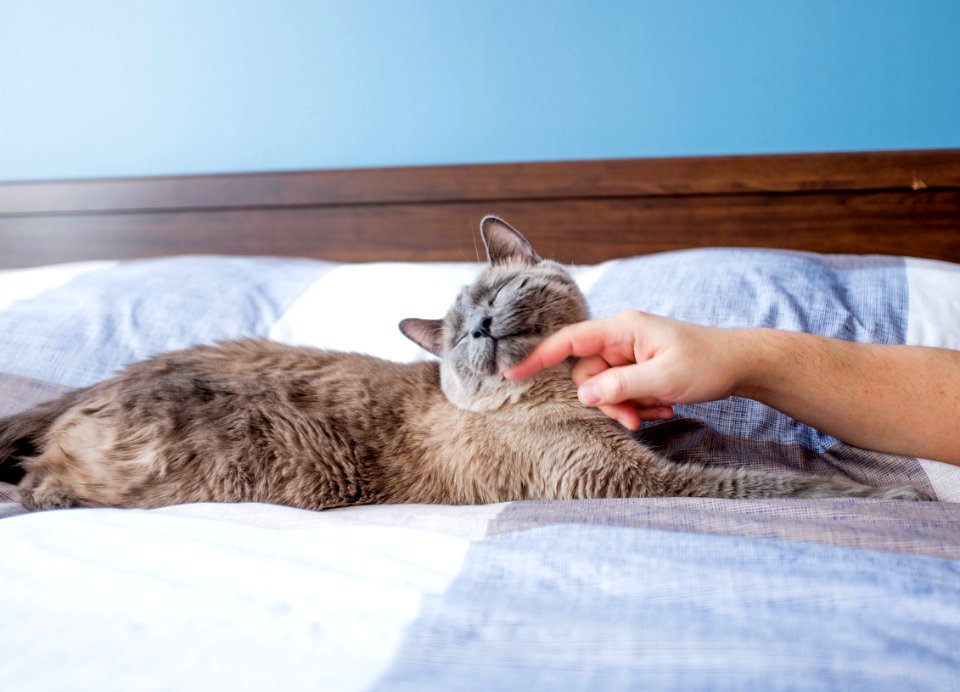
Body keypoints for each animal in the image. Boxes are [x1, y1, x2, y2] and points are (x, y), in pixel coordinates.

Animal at [0, 215, 928, 508]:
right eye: (457, 334)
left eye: (496, 294)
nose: (480, 327)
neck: (567, 394)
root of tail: (115, 377)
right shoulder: (625, 479)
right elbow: (763, 480)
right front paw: (894, 493)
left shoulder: (647, 437)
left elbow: (741, 445)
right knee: (42, 480)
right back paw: (41, 499)